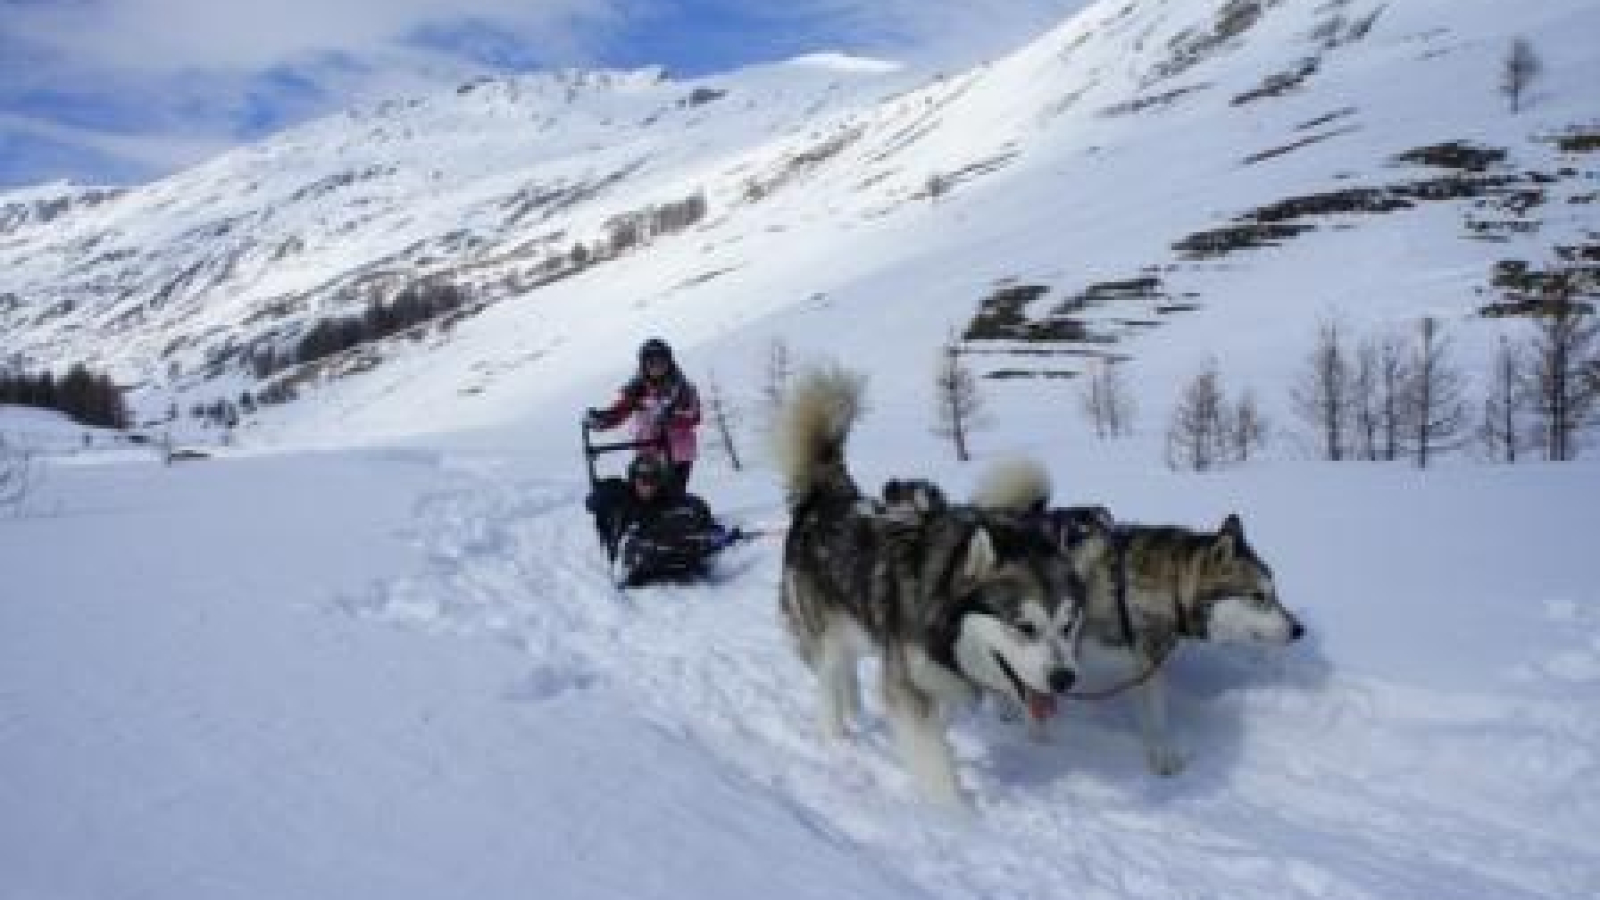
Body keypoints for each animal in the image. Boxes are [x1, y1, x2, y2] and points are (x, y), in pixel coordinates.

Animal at [777, 368, 1088, 800]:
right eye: (1024, 626)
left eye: (1068, 625)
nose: (1064, 679)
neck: (944, 623)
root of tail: (824, 500)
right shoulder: (910, 688)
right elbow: (938, 768)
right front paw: (955, 814)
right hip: (823, 637)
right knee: (829, 682)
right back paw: (839, 739)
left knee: (849, 669)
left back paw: (856, 708)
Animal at [972, 474, 1299, 775]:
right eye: (1258, 596)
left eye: (1275, 593)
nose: (1299, 629)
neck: (1169, 587)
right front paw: (1041, 747)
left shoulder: (1146, 663)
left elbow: (1155, 714)